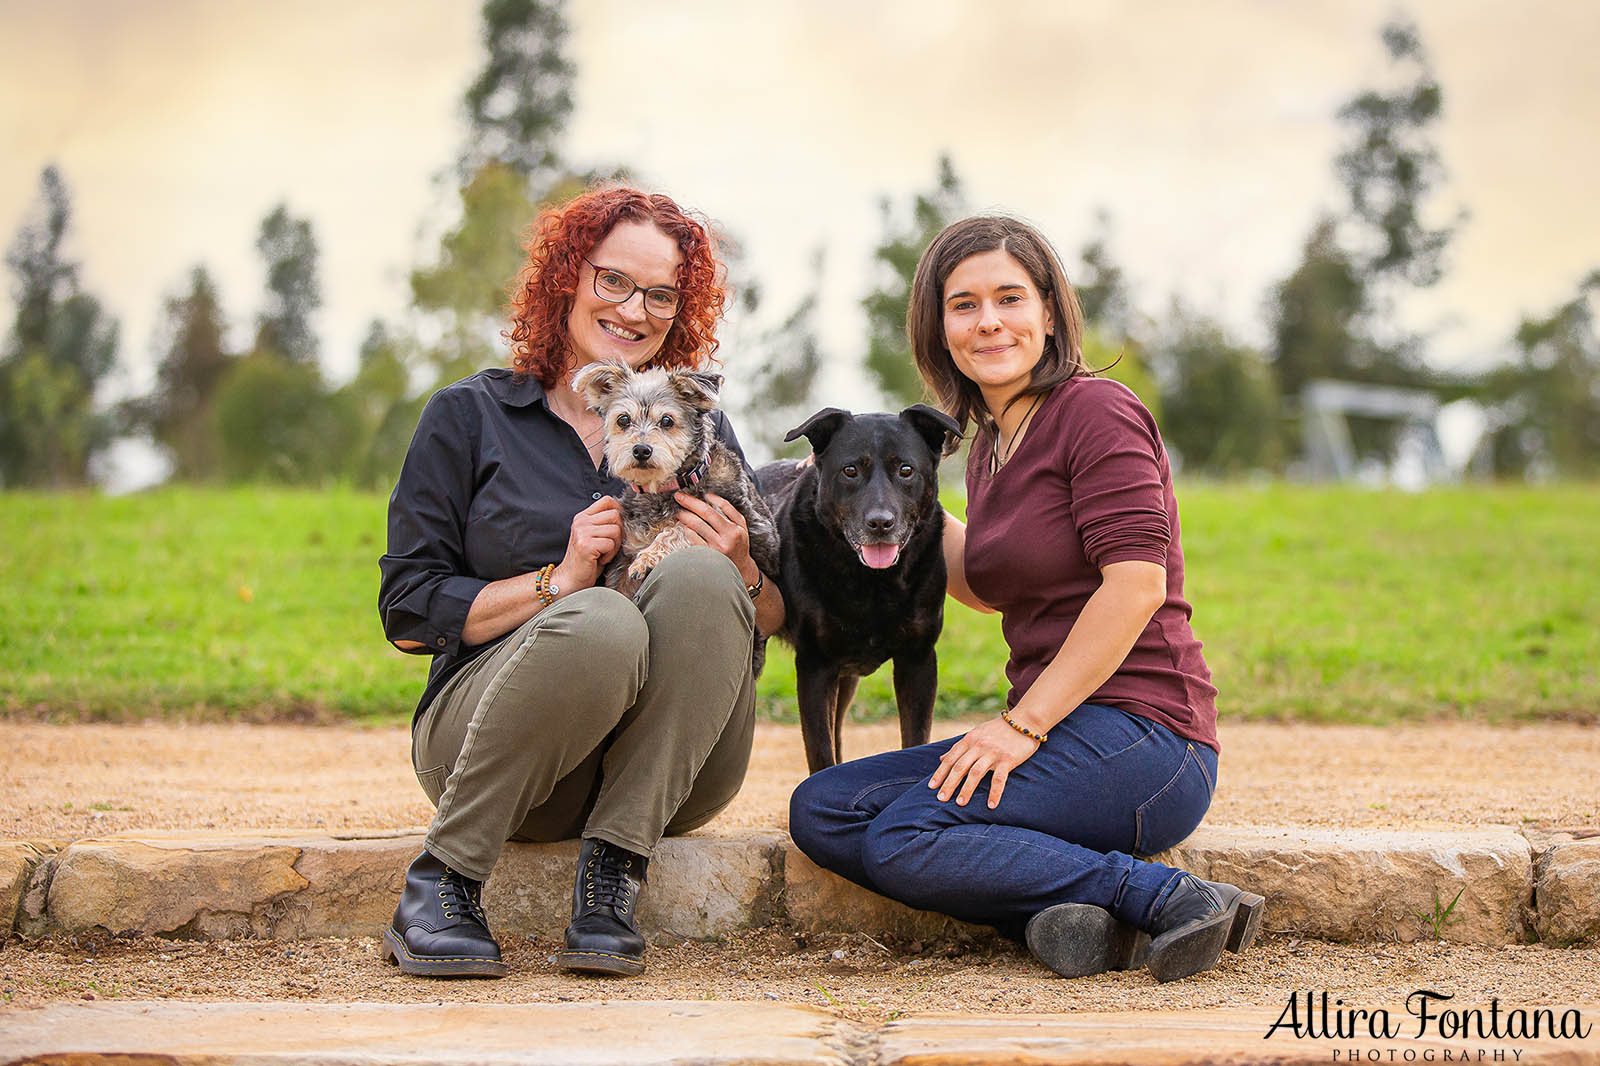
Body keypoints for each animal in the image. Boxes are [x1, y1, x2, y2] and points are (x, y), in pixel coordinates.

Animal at [576, 361, 780, 665]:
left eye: (667, 421)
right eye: (623, 420)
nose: (641, 450)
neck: (662, 489)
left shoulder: (718, 510)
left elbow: (677, 528)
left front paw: (648, 557)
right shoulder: (623, 560)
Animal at [755, 403, 953, 768]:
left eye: (906, 470)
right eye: (850, 471)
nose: (880, 523)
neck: (873, 582)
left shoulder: (918, 660)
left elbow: (914, 738)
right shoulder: (815, 666)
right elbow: (820, 753)